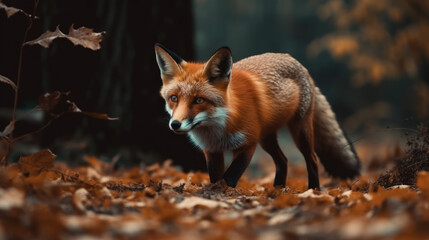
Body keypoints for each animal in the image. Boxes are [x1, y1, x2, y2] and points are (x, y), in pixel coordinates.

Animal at [154, 44, 358, 188]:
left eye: (198, 100)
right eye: (174, 98)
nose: (175, 124)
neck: (218, 128)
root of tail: (295, 60)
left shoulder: (247, 144)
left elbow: (229, 178)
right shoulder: (212, 151)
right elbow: (215, 178)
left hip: (300, 131)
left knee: (313, 160)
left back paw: (313, 190)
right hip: (266, 139)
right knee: (283, 161)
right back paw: (277, 190)